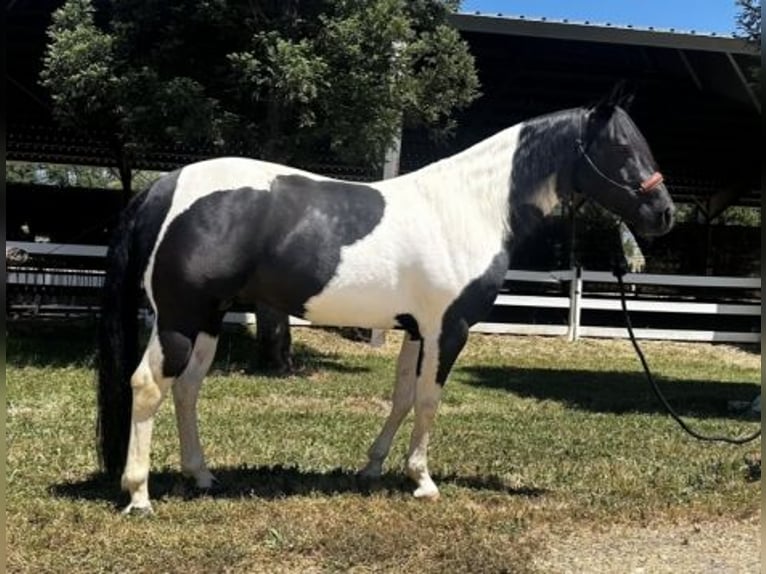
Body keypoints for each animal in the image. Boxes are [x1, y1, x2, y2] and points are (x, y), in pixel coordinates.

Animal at [97, 92, 680, 516]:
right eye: (621, 149)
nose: (664, 214)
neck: (468, 207)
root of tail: (163, 188)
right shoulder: (448, 328)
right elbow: (428, 400)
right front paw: (423, 481)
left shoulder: (417, 329)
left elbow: (401, 397)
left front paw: (374, 468)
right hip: (179, 318)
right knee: (148, 386)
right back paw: (139, 495)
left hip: (209, 319)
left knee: (187, 390)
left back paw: (201, 475)